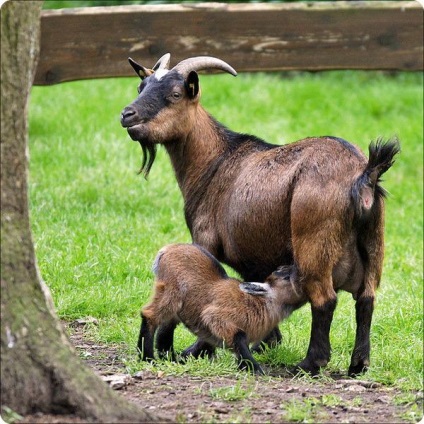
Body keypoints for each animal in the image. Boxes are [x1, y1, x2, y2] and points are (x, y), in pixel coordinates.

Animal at [137, 242, 304, 374]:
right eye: (286, 277)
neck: (259, 304)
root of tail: (167, 249)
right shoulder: (215, 316)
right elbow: (238, 336)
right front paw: (255, 369)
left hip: (175, 307)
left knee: (166, 327)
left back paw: (168, 357)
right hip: (171, 292)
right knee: (149, 315)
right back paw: (147, 358)